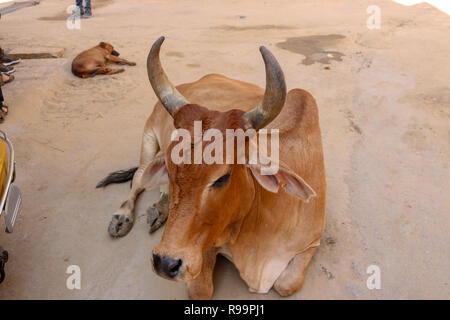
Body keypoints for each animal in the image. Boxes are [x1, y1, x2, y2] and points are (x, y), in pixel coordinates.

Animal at [97, 36, 326, 298]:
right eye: (170, 167)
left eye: (222, 177)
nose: (165, 263)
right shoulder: (204, 245)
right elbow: (201, 290)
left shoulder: (312, 242)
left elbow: (287, 284)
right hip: (148, 136)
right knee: (137, 179)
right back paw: (122, 217)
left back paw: (159, 210)